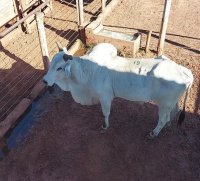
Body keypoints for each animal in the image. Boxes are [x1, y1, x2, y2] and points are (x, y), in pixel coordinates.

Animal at [43, 42, 192, 139]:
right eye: (52, 63)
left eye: (59, 68)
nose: (45, 81)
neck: (88, 70)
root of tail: (184, 71)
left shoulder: (105, 97)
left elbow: (105, 113)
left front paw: (104, 127)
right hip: (171, 103)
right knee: (174, 111)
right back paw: (168, 125)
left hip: (164, 104)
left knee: (162, 119)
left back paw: (153, 133)